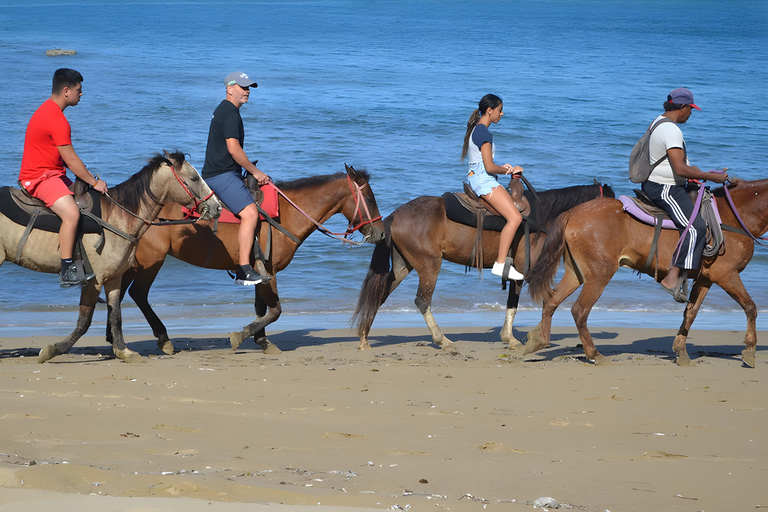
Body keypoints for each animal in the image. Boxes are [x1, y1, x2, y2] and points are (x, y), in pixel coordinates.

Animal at [0, 152, 222, 364]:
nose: (217, 207)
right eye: (194, 178)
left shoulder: (114, 278)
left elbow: (115, 315)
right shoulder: (95, 280)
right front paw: (53, 350)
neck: (118, 217)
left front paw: (123, 351)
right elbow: (84, 321)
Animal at [117, 165, 384, 356]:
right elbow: (275, 310)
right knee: (138, 294)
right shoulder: (268, 271)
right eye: (370, 199)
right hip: (151, 260)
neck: (286, 214)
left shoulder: (259, 273)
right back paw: (162, 338)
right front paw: (243, 334)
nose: (381, 233)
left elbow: (261, 308)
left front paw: (262, 339)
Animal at [352, 182, 612, 354]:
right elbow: (530, 302)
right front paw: (519, 337)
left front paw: (518, 336)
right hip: (429, 265)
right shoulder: (523, 270)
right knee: (422, 301)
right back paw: (443, 340)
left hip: (404, 266)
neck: (542, 217)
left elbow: (526, 303)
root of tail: (395, 215)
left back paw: (364, 337)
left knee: (380, 295)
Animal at [524, 178, 768, 366]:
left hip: (576, 273)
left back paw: (539, 341)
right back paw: (594, 354)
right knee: (579, 311)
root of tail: (572, 213)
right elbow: (750, 307)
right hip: (599, 275)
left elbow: (690, 313)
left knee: (551, 301)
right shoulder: (727, 275)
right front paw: (749, 351)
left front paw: (681, 351)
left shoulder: (706, 279)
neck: (732, 217)